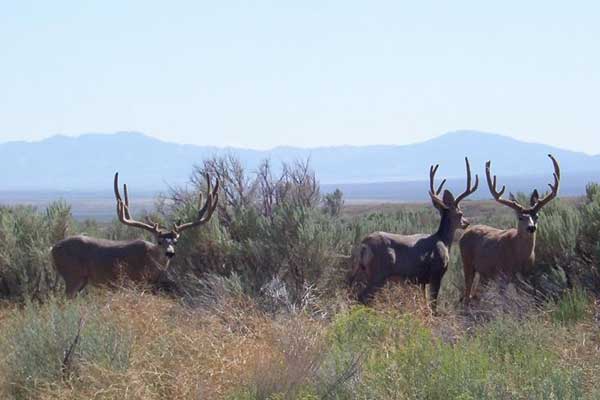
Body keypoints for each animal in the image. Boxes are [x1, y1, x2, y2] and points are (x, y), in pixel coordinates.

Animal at [52, 172, 218, 296]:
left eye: (175, 241)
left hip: (82, 279)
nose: (170, 252)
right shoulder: (132, 282)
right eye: (159, 241)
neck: (148, 261)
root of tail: (53, 248)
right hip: (72, 274)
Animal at [346, 157, 478, 312]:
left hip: (362, 271)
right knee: (362, 297)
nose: (467, 222)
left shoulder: (421, 281)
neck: (443, 241)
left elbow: (424, 304)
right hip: (378, 274)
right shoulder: (436, 273)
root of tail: (364, 245)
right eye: (460, 213)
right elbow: (433, 306)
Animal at [460, 153, 564, 304]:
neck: (518, 256)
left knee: (475, 293)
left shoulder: (526, 275)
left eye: (537, 216)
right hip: (467, 263)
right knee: (467, 293)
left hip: (484, 273)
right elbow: (504, 301)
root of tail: (465, 232)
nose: (531, 228)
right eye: (520, 217)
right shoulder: (503, 274)